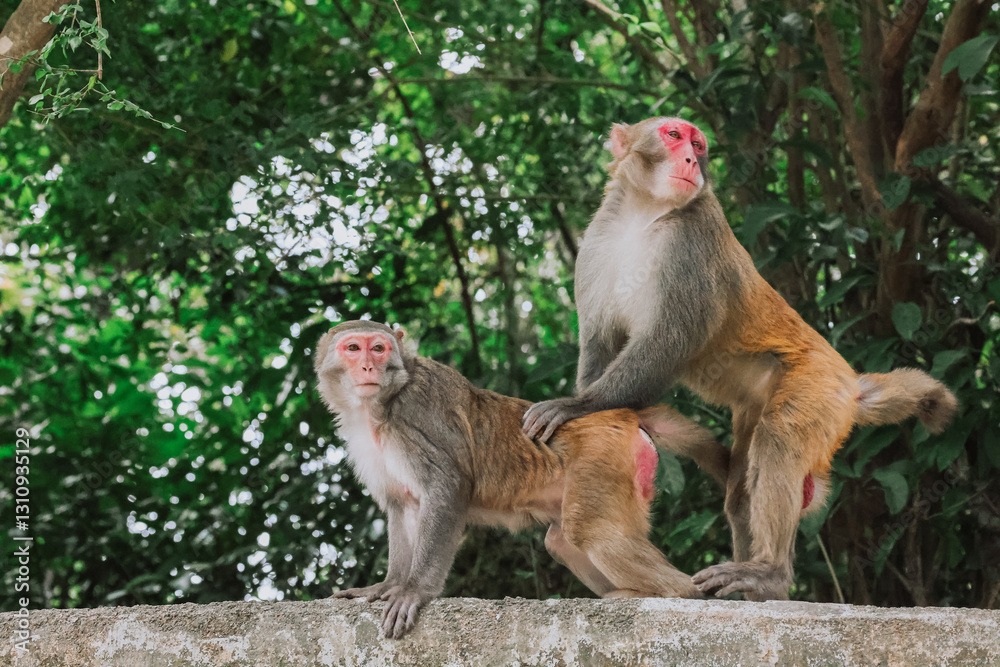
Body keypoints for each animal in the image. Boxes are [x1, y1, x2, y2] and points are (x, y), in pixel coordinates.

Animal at [315, 319, 729, 638]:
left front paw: (414, 591)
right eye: (353, 348)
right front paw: (388, 585)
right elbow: (402, 506)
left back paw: (674, 593)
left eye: (379, 348)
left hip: (602, 453)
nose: (368, 368)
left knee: (588, 531)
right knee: (561, 541)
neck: (377, 407)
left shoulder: (416, 412)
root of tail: (618, 413)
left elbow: (447, 488)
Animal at [522, 117, 958, 601]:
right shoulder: (597, 244)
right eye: (674, 135)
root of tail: (849, 380)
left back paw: (768, 572)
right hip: (760, 404)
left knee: (779, 436)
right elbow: (600, 345)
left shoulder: (693, 239)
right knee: (743, 487)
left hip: (818, 386)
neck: (643, 214)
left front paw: (577, 406)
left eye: (698, 144)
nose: (690, 158)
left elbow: (668, 343)